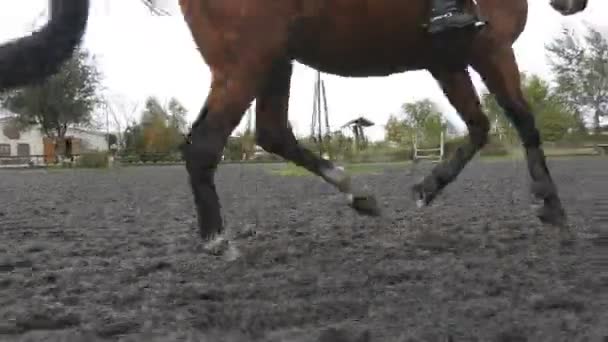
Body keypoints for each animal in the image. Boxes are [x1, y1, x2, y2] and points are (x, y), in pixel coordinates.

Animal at [178, 0, 592, 246]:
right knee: (205, 144)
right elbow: (523, 120)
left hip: (275, 59)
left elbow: (479, 125)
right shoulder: (492, 46)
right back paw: (217, 241)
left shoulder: (448, 59)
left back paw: (358, 195)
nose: (576, 5)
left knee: (272, 131)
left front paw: (428, 187)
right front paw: (551, 205)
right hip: (248, 61)